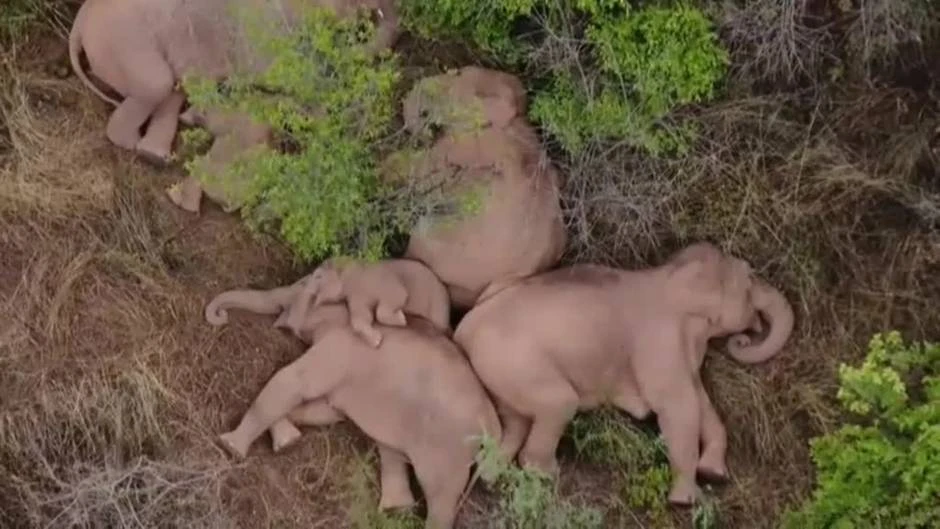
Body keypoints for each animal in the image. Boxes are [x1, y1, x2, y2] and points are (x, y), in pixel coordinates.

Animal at [68, 0, 399, 165]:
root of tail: (78, 25)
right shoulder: (261, 31)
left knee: (174, 89)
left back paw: (158, 156)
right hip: (123, 39)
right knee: (158, 84)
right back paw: (137, 147)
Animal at [217, 303, 502, 529]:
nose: (220, 314)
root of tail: (493, 424)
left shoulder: (340, 349)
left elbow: (294, 382)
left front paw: (230, 446)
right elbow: (324, 410)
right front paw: (287, 440)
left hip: (448, 450)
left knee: (439, 495)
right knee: (392, 450)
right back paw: (395, 509)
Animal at [452, 241, 795, 506]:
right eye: (750, 278)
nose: (744, 339)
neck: (668, 273)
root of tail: (464, 329)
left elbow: (701, 402)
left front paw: (714, 473)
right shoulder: (659, 341)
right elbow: (677, 405)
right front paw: (686, 501)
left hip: (500, 373)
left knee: (514, 423)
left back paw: (493, 478)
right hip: (514, 361)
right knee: (558, 404)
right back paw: (547, 477)